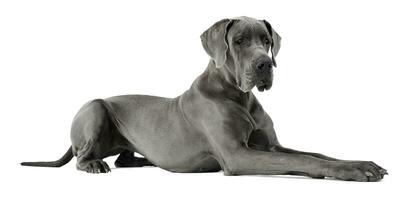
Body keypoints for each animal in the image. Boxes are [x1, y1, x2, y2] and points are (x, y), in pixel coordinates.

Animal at [21, 16, 390, 182]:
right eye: (239, 40)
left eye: (266, 40)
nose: (265, 64)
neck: (239, 96)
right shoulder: (238, 155)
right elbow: (305, 162)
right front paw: (354, 171)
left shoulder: (271, 146)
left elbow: (316, 154)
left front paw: (361, 162)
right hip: (96, 107)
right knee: (82, 156)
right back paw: (95, 164)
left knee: (125, 158)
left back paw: (143, 161)